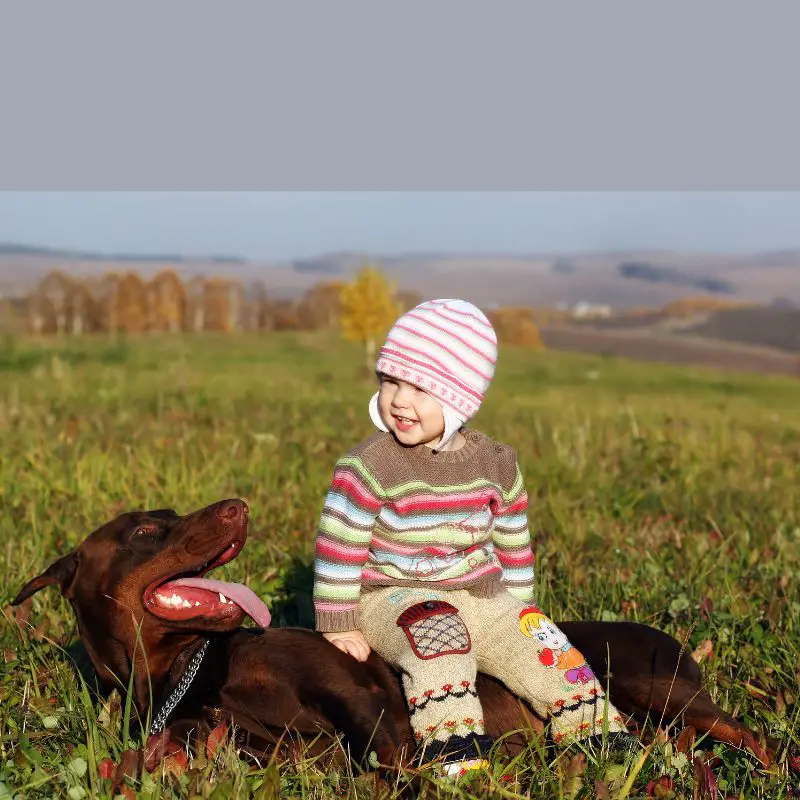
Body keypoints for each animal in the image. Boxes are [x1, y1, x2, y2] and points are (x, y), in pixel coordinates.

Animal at [9, 500, 764, 768]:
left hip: (654, 685)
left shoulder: (361, 697)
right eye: (145, 530)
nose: (237, 505)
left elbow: (391, 756)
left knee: (751, 735)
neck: (195, 673)